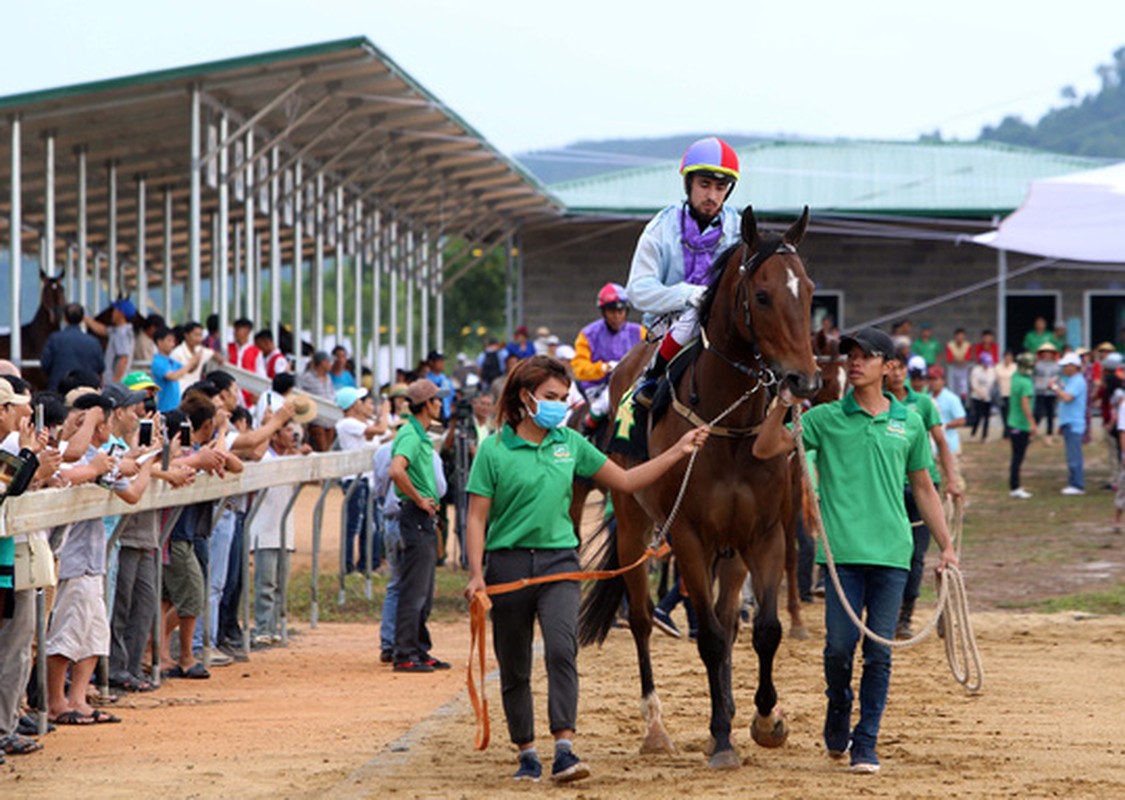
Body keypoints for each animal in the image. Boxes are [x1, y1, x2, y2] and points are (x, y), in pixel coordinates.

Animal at [580, 204, 819, 769]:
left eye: (809, 290)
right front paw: (724, 739)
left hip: (728, 549)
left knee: (730, 619)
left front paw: (764, 720)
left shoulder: (763, 533)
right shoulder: (687, 535)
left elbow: (763, 630)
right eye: (762, 295)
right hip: (633, 522)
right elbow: (707, 635)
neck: (726, 427)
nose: (803, 380)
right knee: (641, 618)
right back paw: (656, 728)